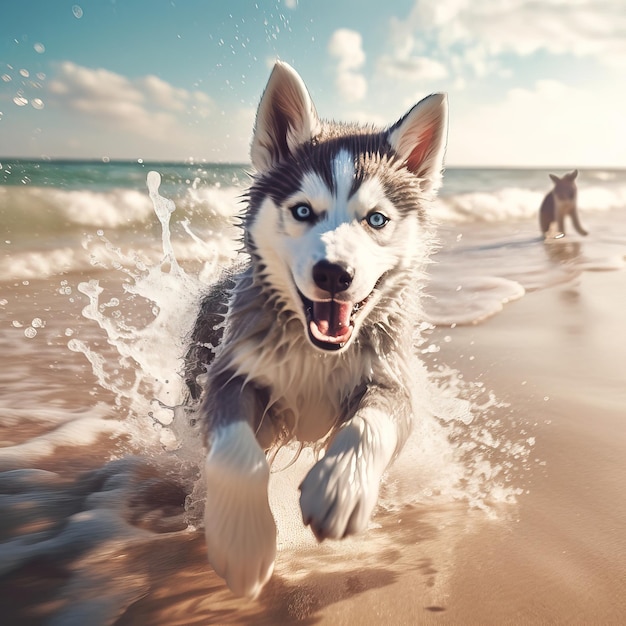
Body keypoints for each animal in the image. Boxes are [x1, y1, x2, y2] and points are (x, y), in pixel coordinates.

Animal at [185, 61, 448, 596]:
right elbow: (234, 454)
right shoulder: (232, 373)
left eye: (377, 220)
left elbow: (371, 425)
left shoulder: (391, 377)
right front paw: (242, 545)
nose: (333, 274)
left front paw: (340, 487)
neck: (317, 353)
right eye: (303, 210)